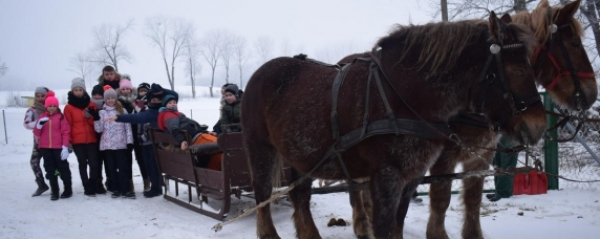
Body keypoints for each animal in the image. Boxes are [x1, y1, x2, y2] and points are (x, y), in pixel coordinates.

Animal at [241, 12, 548, 239]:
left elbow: (398, 225)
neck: (402, 95)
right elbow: (385, 226)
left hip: (302, 155)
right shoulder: (386, 176)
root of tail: (260, 73)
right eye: (518, 70)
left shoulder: (412, 176)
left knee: (300, 195)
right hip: (260, 148)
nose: (539, 126)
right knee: (262, 195)